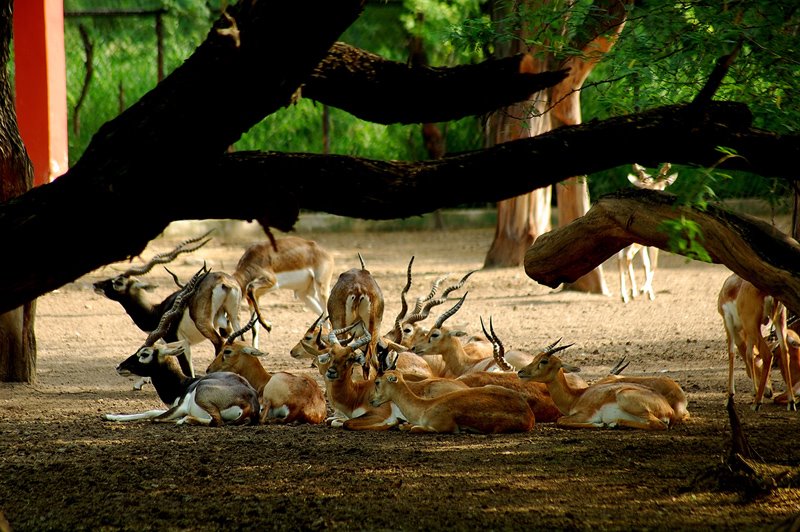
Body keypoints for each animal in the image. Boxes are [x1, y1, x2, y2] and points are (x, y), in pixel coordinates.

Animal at [93, 231, 241, 384]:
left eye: (118, 282)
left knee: (220, 342)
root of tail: (223, 281)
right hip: (233, 318)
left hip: (204, 324)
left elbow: (188, 371)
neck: (157, 311)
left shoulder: (180, 343)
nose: (96, 284)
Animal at [103, 266, 260, 428]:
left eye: (145, 353)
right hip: (233, 317)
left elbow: (154, 416)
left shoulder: (180, 406)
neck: (183, 386)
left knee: (215, 421)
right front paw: (111, 416)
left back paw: (185, 420)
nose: (119, 367)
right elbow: (150, 411)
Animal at [520, 340, 688, 432]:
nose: (521, 372)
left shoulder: (585, 414)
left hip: (625, 397)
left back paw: (614, 424)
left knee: (657, 424)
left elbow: (561, 420)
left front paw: (598, 424)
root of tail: (669, 409)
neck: (576, 396)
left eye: (544, 361)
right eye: (535, 357)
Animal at [616, 162, 680, 304]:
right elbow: (654, 264)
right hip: (635, 244)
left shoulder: (644, 246)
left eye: (663, 186)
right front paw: (643, 290)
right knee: (628, 256)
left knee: (620, 258)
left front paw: (649, 294)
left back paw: (624, 296)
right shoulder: (652, 245)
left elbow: (646, 264)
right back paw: (634, 292)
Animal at [716, 272, 796, 410]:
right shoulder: (747, 333)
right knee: (785, 352)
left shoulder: (728, 322)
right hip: (779, 320)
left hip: (752, 325)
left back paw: (757, 403)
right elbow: (749, 356)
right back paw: (791, 402)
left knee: (767, 354)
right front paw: (755, 391)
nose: (769, 393)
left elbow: (731, 353)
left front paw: (730, 397)